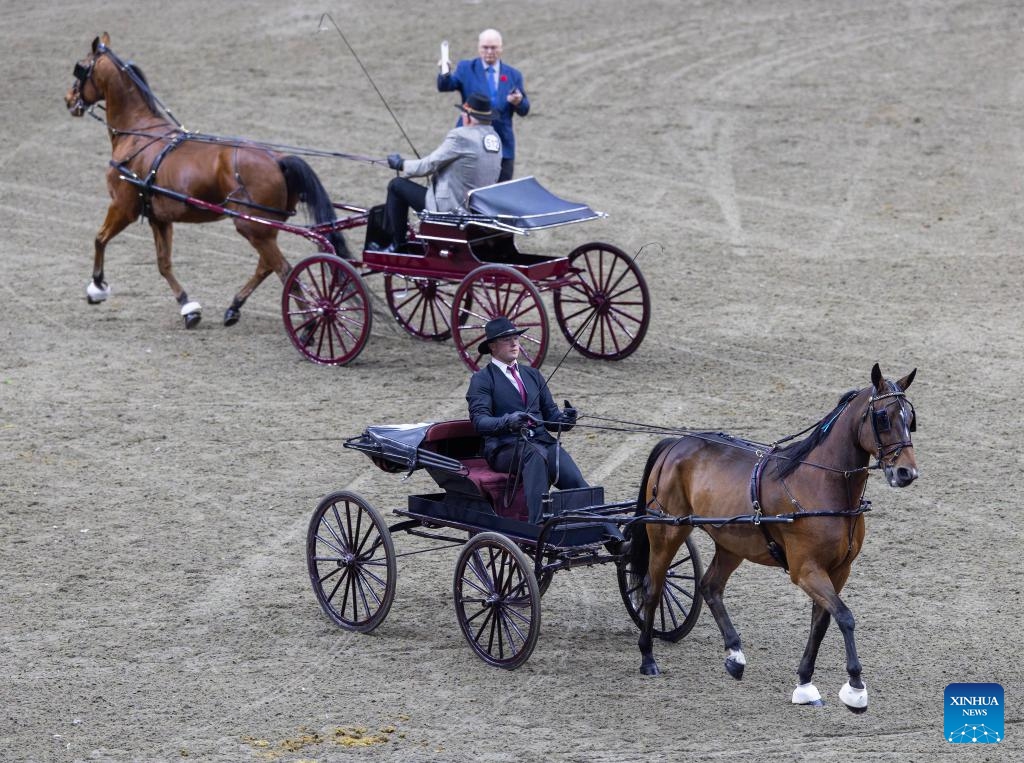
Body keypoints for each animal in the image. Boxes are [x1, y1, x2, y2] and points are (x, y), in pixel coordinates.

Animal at [65, 33, 349, 329]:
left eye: (80, 68)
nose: (68, 99)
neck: (138, 135)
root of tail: (278, 159)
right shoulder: (159, 217)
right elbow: (163, 264)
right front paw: (188, 308)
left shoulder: (122, 207)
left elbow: (99, 239)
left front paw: (97, 287)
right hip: (263, 228)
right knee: (267, 266)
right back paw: (236, 307)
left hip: (252, 227)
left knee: (284, 270)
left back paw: (312, 321)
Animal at [632, 363, 917, 713]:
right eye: (883, 417)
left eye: (910, 418)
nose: (907, 473)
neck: (820, 484)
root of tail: (676, 443)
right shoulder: (806, 570)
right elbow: (845, 617)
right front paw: (855, 688)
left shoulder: (839, 570)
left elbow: (822, 622)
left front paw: (805, 684)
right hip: (667, 532)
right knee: (652, 589)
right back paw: (648, 657)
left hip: (731, 543)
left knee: (710, 586)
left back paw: (735, 657)